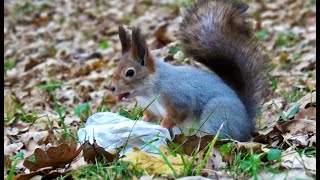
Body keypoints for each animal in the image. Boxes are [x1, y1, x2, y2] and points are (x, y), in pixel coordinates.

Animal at [109, 0, 270, 141]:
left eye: (130, 72)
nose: (111, 88)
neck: (149, 89)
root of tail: (246, 123)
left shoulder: (177, 97)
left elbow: (177, 115)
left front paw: (162, 127)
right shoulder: (150, 107)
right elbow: (148, 117)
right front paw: (138, 122)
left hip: (218, 115)